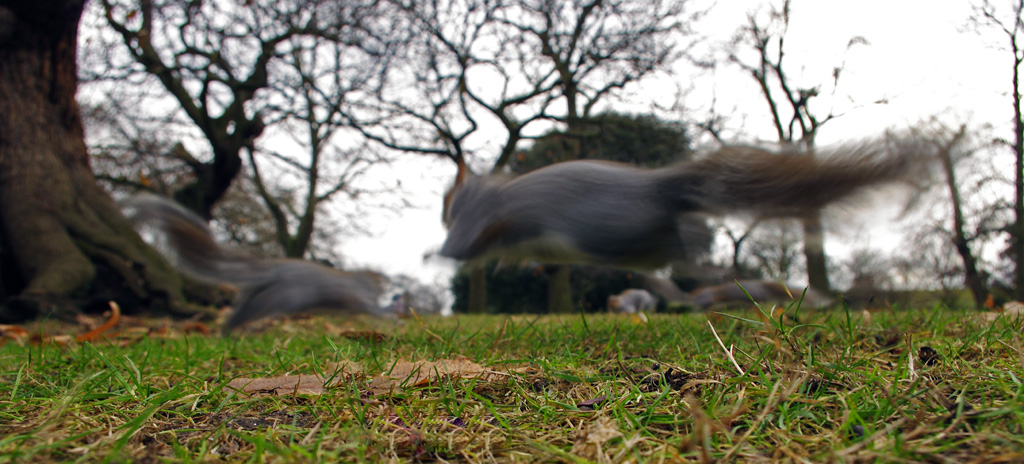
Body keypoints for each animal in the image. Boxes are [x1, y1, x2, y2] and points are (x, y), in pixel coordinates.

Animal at [126, 194, 386, 332]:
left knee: (241, 309)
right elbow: (368, 307)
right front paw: (388, 315)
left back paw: (230, 330)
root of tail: (272, 269)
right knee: (255, 310)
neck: (358, 280)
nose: (383, 290)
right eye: (377, 280)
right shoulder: (358, 295)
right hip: (282, 296)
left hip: (259, 294)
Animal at [439, 142, 924, 268]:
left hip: (605, 231)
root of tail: (658, 185)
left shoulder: (473, 222)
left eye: (448, 195)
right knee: (672, 240)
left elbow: (459, 247)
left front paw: (437, 255)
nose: (442, 209)